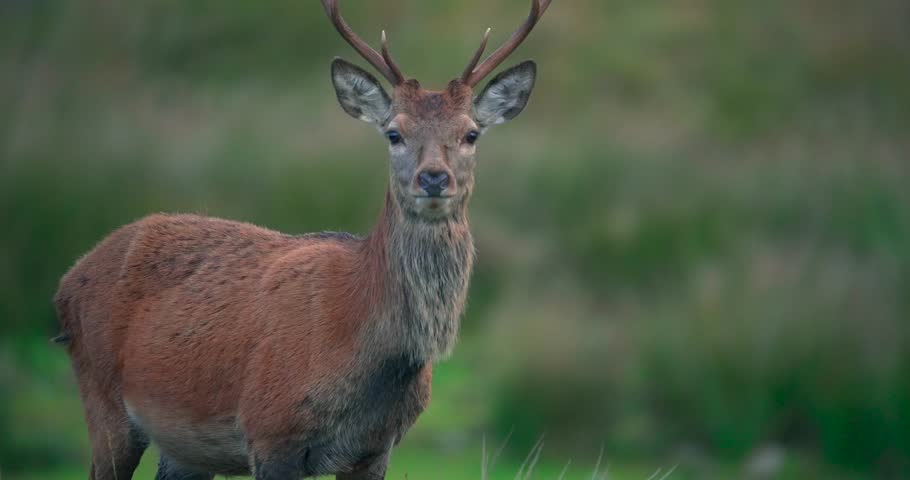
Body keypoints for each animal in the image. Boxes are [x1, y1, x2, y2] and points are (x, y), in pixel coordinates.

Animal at [53, 1, 551, 478]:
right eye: (394, 133)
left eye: (471, 133)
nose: (433, 178)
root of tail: (67, 280)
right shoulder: (270, 431)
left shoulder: (376, 451)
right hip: (103, 399)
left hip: (184, 451)